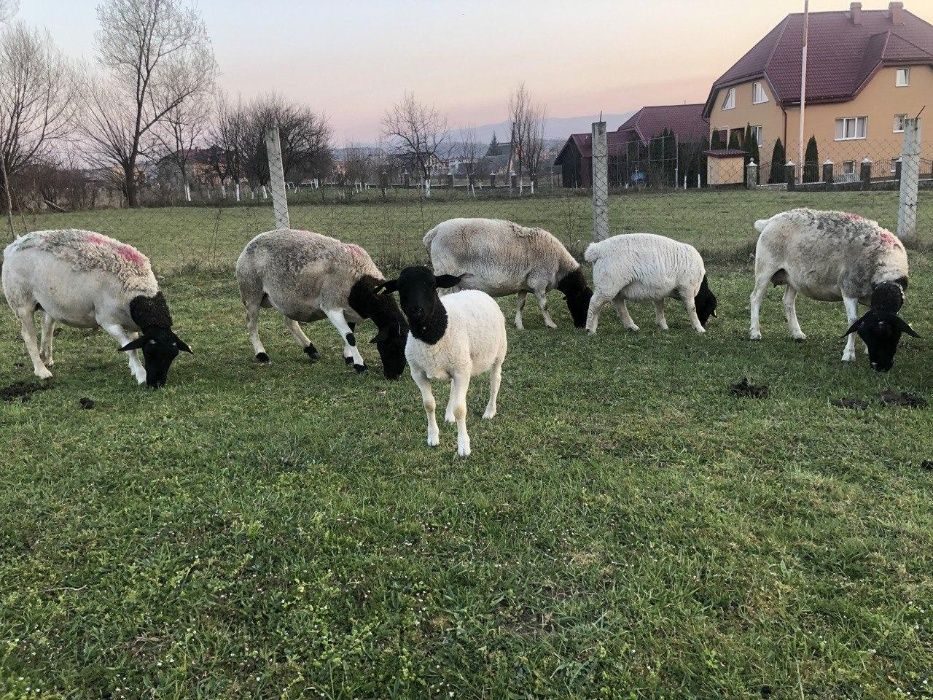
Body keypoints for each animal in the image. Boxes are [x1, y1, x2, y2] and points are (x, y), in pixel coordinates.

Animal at [1, 228, 191, 388]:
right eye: (150, 352)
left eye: (173, 355)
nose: (156, 385)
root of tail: (13, 246)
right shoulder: (108, 321)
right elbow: (129, 347)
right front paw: (140, 374)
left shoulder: (131, 323)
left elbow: (133, 344)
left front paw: (135, 368)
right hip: (21, 301)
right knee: (28, 336)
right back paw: (41, 370)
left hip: (46, 302)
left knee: (47, 327)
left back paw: (46, 358)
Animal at [233, 230, 408, 380]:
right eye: (393, 345)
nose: (394, 376)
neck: (359, 281)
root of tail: (251, 242)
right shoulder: (332, 306)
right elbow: (350, 337)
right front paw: (360, 366)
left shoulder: (349, 310)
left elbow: (350, 332)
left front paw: (349, 358)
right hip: (251, 292)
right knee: (251, 324)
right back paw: (261, 354)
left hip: (288, 299)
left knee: (290, 322)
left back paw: (310, 349)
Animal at [376, 266, 510, 456]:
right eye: (401, 287)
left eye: (433, 285)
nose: (416, 310)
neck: (432, 336)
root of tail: (478, 291)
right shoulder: (418, 373)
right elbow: (428, 405)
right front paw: (433, 437)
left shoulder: (461, 371)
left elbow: (461, 409)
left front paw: (463, 446)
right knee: (454, 387)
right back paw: (449, 415)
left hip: (497, 353)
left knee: (495, 381)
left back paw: (490, 411)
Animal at [422, 217, 588, 330]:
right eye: (584, 302)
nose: (582, 326)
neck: (560, 266)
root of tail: (433, 233)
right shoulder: (539, 282)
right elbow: (544, 305)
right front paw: (551, 324)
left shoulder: (524, 284)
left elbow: (521, 304)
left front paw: (519, 325)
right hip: (445, 272)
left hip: (456, 280)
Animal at [748, 208, 912, 372]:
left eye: (895, 336)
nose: (881, 367)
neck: (885, 266)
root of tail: (770, 221)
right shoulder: (849, 288)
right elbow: (853, 321)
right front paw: (848, 354)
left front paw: (864, 349)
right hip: (765, 267)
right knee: (756, 297)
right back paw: (755, 332)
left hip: (793, 277)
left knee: (788, 302)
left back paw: (797, 333)